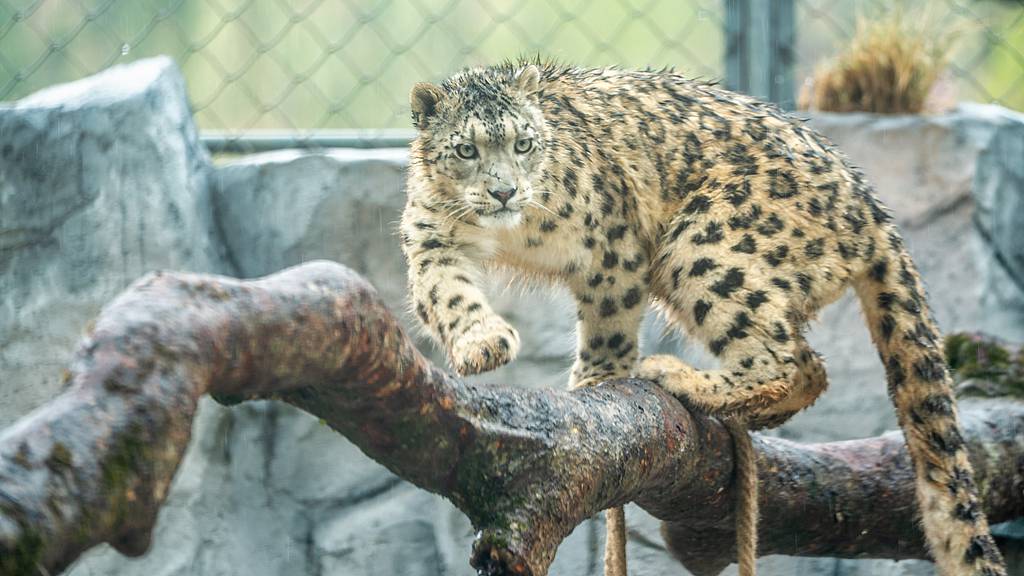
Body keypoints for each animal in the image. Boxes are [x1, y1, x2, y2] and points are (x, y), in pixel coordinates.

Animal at [399, 60, 1006, 576]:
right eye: (466, 149)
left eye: (523, 142)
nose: (504, 191)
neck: (511, 235)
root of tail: (867, 199)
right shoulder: (433, 239)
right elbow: (445, 292)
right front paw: (482, 343)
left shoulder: (612, 245)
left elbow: (610, 319)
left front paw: (596, 377)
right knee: (810, 365)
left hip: (702, 246)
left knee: (778, 355)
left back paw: (679, 377)